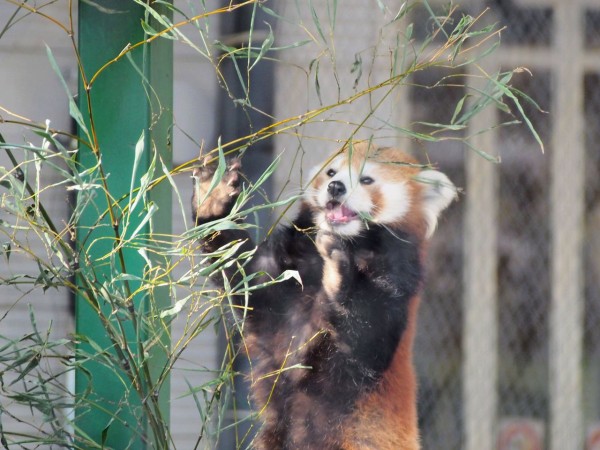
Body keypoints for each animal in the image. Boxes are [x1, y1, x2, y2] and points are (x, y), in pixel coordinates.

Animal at [192, 142, 454, 450]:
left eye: (366, 179)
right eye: (332, 172)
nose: (336, 187)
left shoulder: (395, 282)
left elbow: (366, 336)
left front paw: (340, 277)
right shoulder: (284, 285)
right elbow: (245, 279)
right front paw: (213, 196)